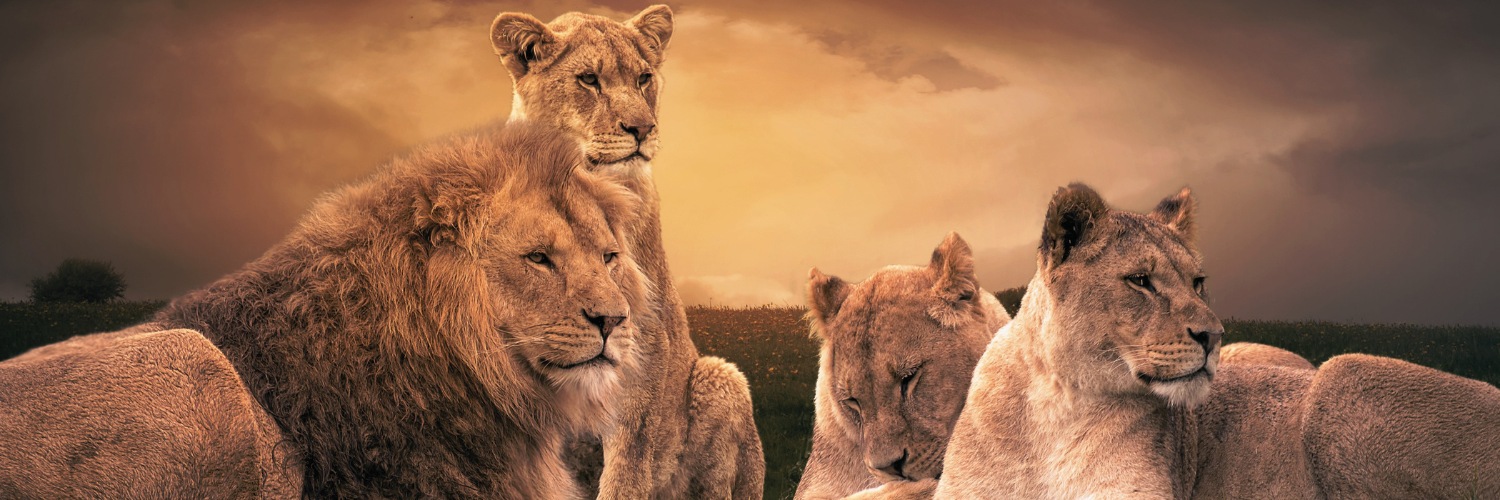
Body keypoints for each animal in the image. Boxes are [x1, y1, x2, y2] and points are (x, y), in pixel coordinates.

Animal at [491, 5, 765, 499]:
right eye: (588, 80)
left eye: (643, 78)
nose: (643, 129)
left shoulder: (644, 346)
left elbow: (626, 469)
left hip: (721, 378)